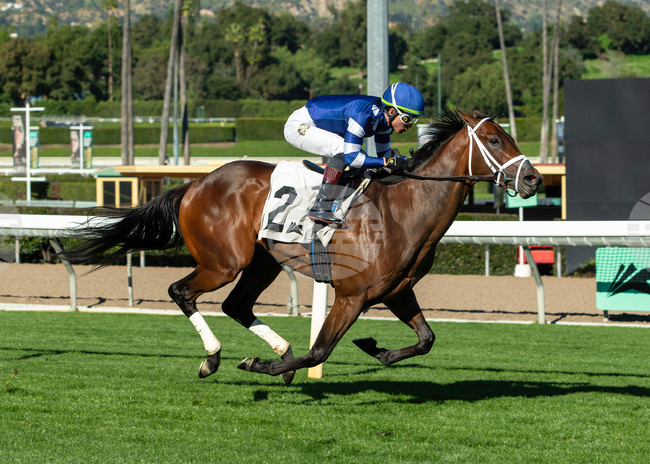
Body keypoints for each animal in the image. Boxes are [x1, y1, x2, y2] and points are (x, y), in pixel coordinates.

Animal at [62, 109, 542, 384]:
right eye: (495, 140)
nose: (534, 179)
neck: (403, 209)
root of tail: (195, 182)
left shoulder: (396, 290)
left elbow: (426, 339)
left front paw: (377, 349)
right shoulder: (353, 295)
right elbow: (320, 349)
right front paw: (262, 366)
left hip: (263, 261)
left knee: (237, 304)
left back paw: (277, 349)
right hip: (224, 261)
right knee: (181, 292)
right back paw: (215, 359)